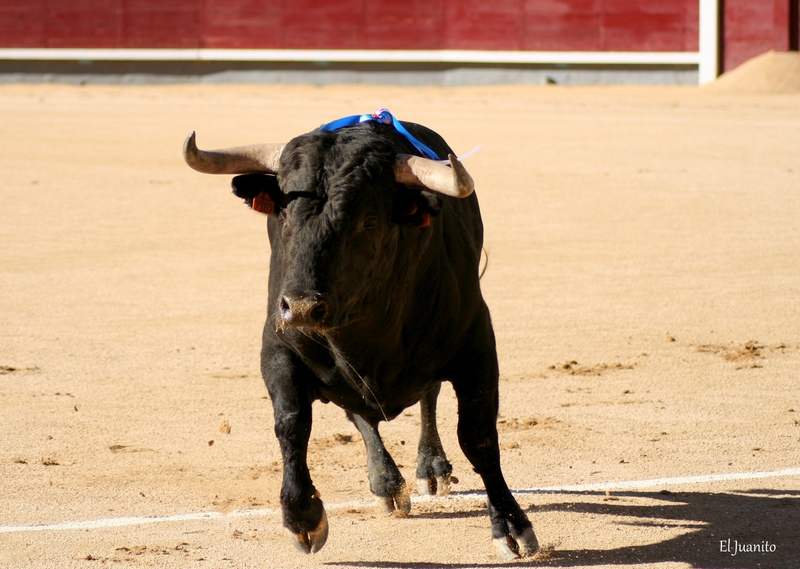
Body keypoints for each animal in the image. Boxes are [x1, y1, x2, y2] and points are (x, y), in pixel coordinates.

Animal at [183, 117, 536, 556]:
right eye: (284, 214)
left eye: (368, 221)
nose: (302, 307)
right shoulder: (278, 348)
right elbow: (291, 425)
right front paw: (303, 516)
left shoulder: (477, 347)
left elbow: (478, 437)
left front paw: (511, 525)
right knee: (359, 412)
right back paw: (386, 482)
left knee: (428, 397)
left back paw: (431, 467)